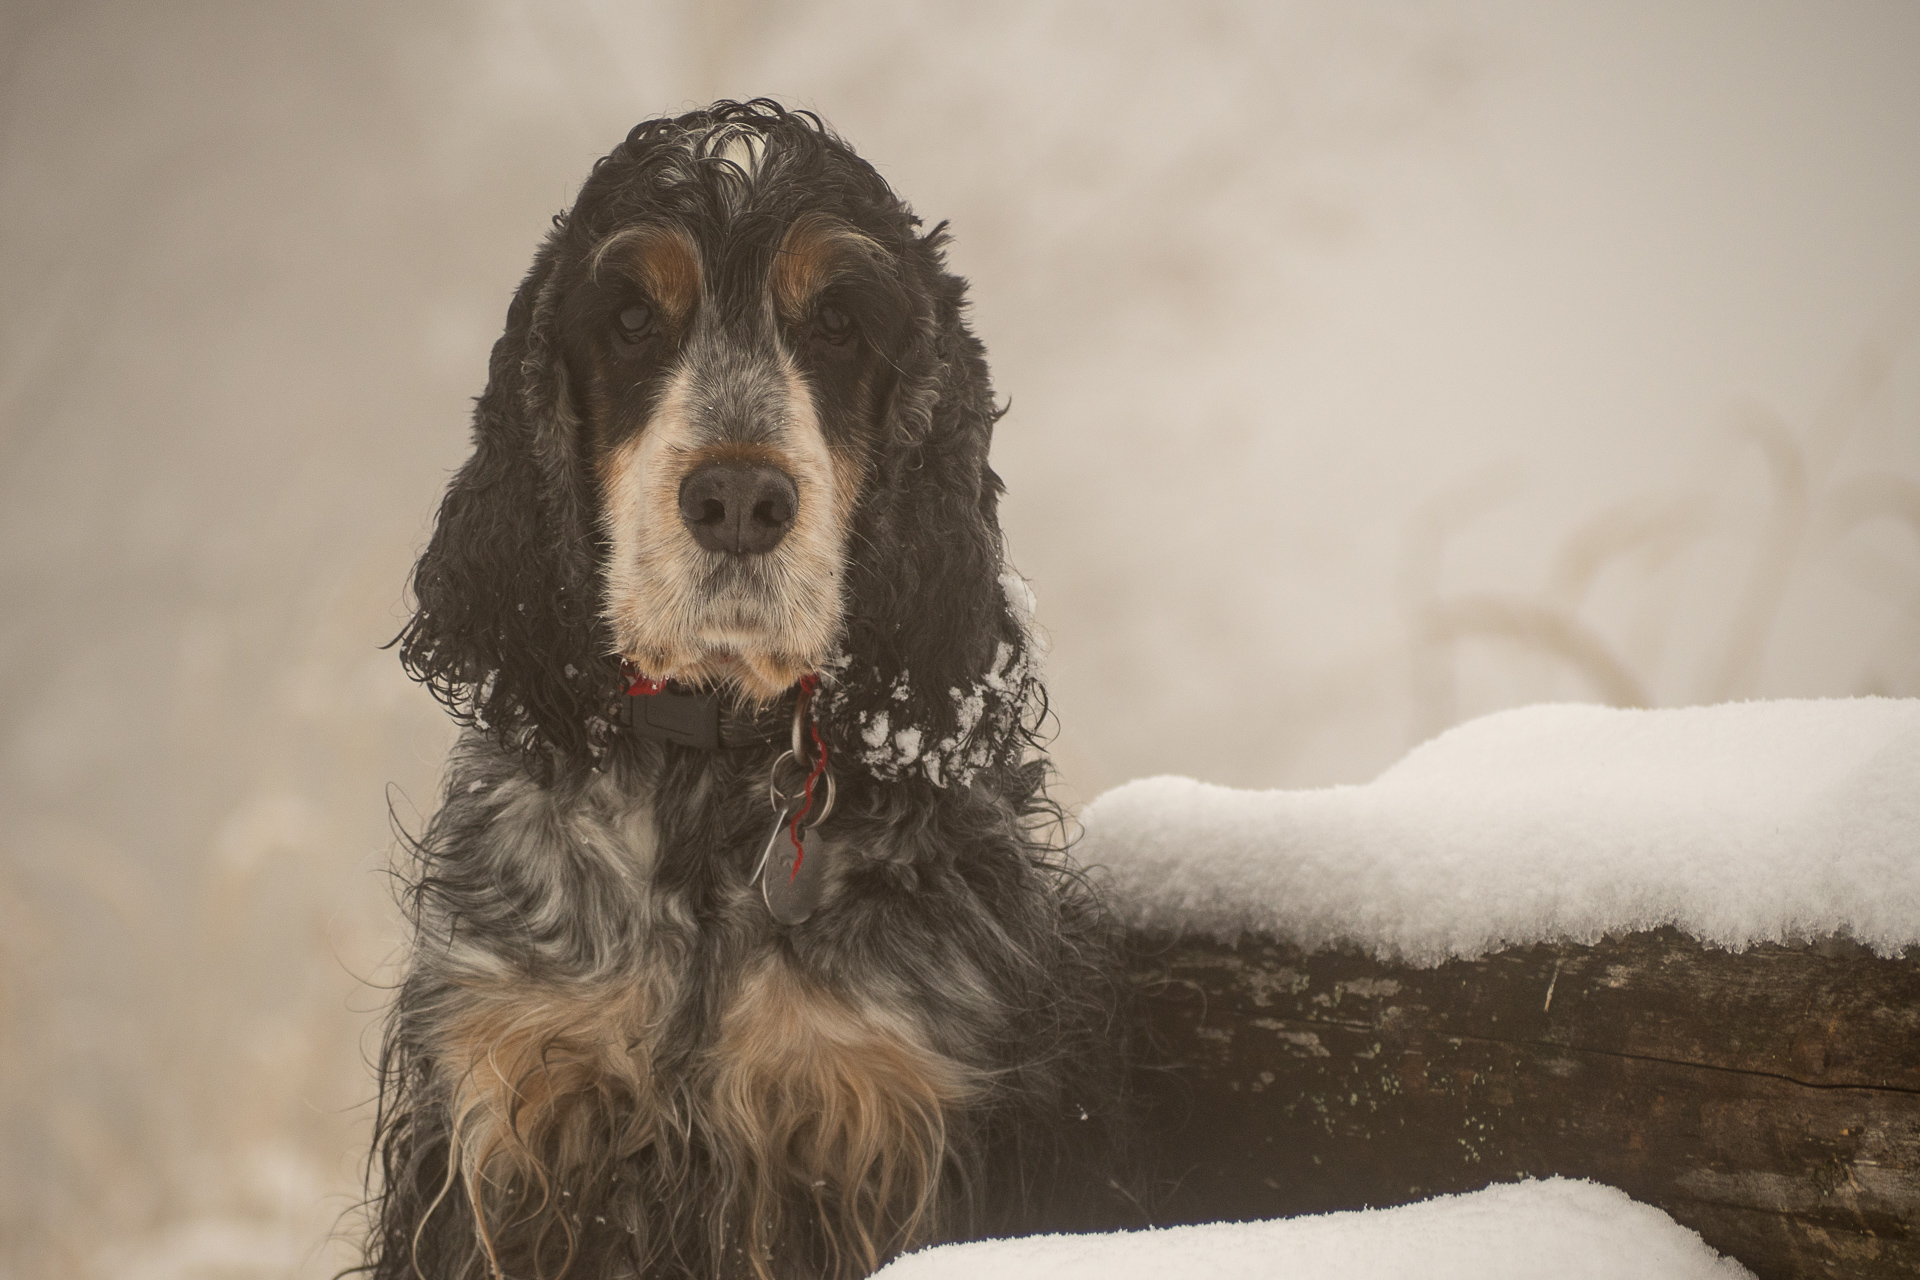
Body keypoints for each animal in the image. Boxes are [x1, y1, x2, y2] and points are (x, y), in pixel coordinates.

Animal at [362, 100, 1121, 1280]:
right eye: (632, 318)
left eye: (841, 323)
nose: (736, 499)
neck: (713, 758)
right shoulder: (506, 1103)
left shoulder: (891, 1116)